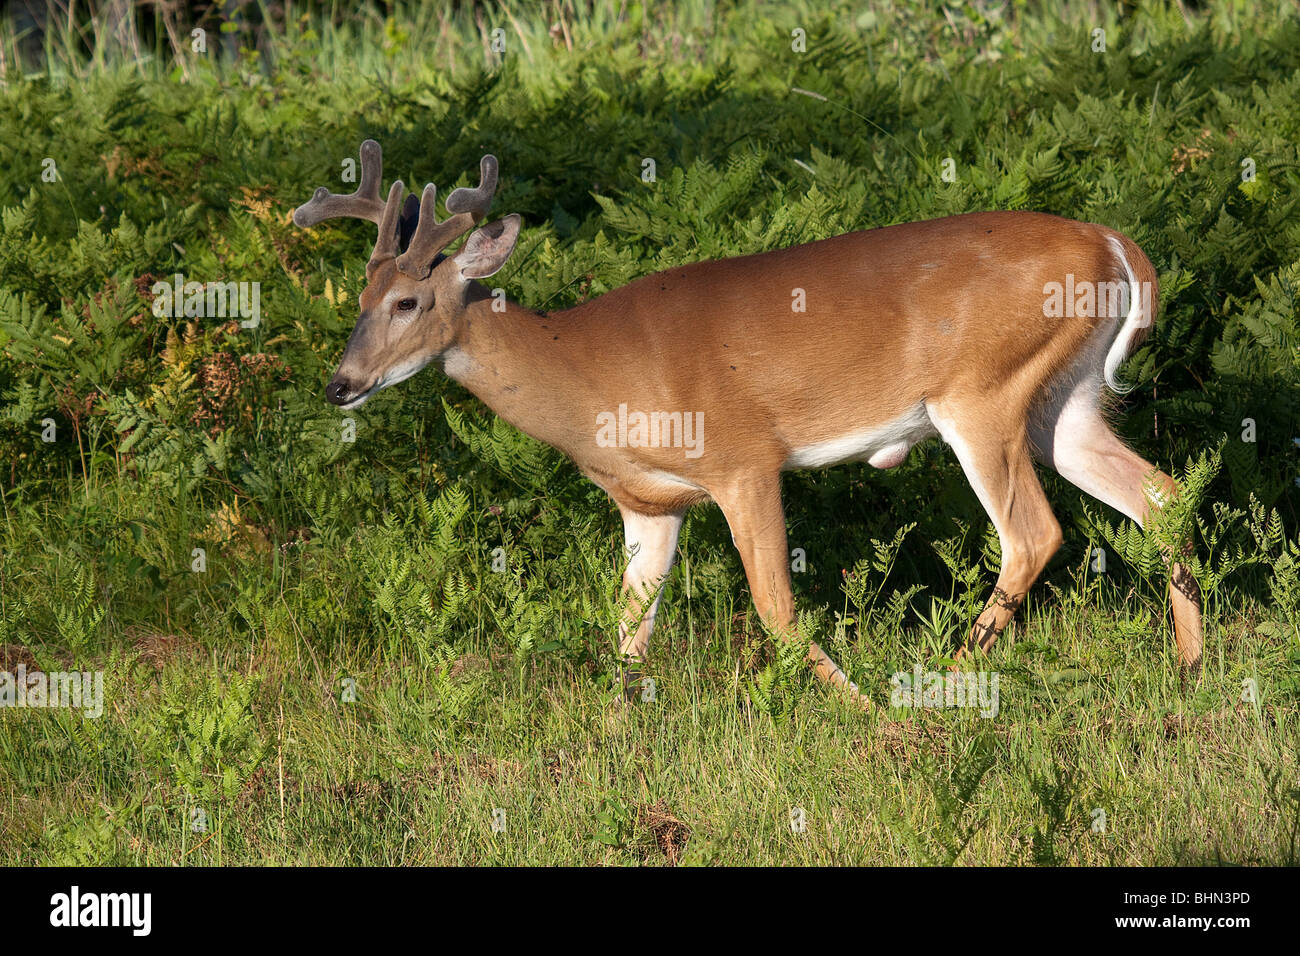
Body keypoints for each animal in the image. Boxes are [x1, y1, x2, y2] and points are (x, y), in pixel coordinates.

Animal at [295, 140, 1206, 702]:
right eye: (361, 296)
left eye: (408, 302)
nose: (341, 385)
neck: (588, 374)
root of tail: (1114, 243)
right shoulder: (648, 504)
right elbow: (629, 628)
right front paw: (615, 731)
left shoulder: (742, 459)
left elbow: (775, 607)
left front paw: (861, 713)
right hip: (1065, 399)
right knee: (1160, 494)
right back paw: (1191, 668)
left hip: (982, 393)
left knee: (1034, 533)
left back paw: (940, 682)